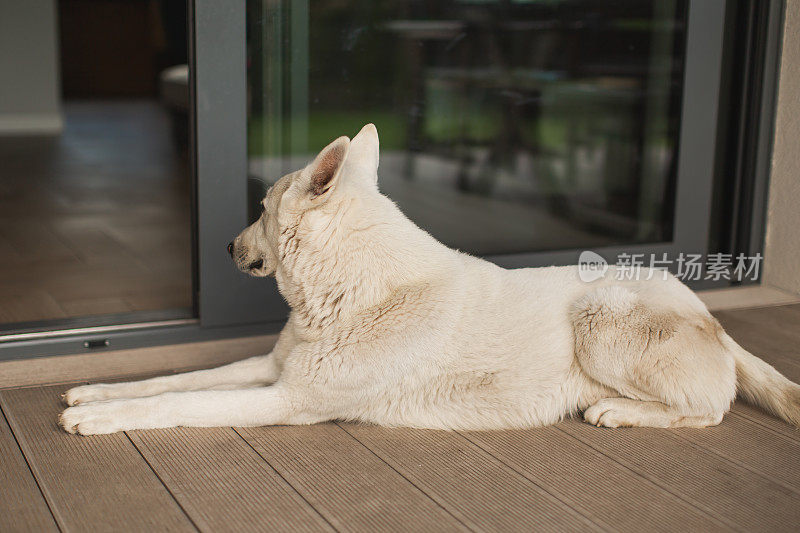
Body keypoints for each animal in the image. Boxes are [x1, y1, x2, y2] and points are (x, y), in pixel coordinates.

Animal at [59, 125, 800, 436]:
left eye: (262, 209)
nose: (227, 244)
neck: (345, 293)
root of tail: (715, 319)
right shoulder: (272, 368)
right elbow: (173, 379)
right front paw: (97, 390)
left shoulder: (286, 398)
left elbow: (180, 402)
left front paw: (99, 417)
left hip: (602, 318)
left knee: (711, 408)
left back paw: (622, 410)